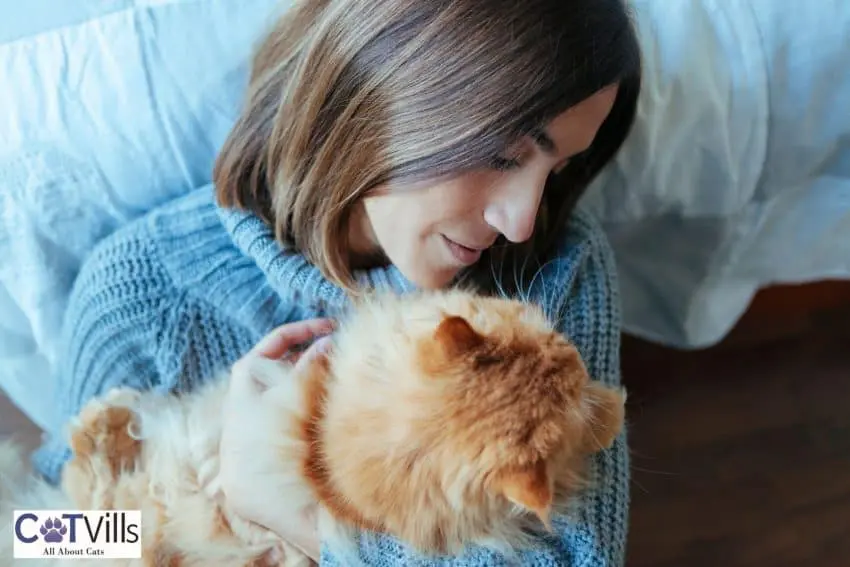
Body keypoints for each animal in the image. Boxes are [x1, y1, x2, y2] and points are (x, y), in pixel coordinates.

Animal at [0, 290, 624, 564]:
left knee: (94, 481)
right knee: (89, 479)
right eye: (550, 338)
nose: (574, 349)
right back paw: (104, 414)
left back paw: (103, 417)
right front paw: (610, 404)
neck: (320, 446)